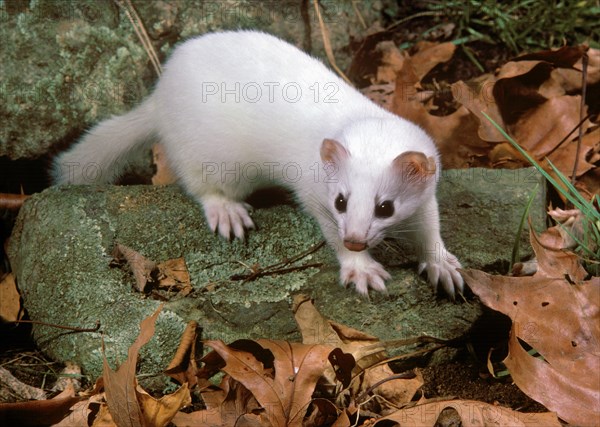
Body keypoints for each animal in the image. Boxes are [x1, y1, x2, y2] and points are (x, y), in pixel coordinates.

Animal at [52, 30, 464, 300]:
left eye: (385, 207)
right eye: (341, 201)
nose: (355, 239)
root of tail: (160, 94)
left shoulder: (426, 195)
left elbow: (430, 227)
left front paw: (443, 266)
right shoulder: (312, 193)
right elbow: (328, 231)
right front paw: (361, 269)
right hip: (207, 155)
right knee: (200, 184)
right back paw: (227, 212)